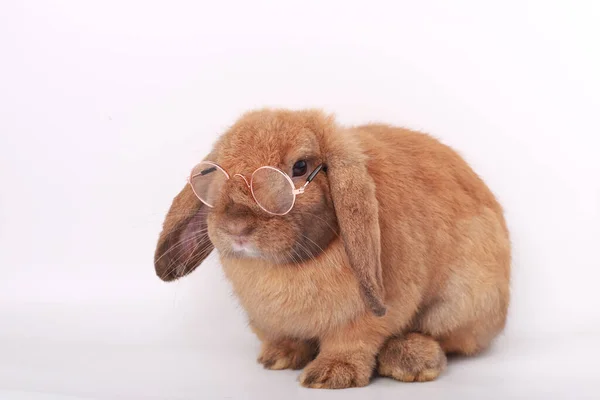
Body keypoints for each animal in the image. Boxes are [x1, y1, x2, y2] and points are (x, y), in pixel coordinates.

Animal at [152, 108, 508, 390]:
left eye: (299, 167)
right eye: (219, 172)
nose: (237, 228)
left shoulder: (370, 314)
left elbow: (352, 340)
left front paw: (331, 375)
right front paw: (278, 357)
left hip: (461, 301)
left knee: (450, 339)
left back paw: (409, 361)